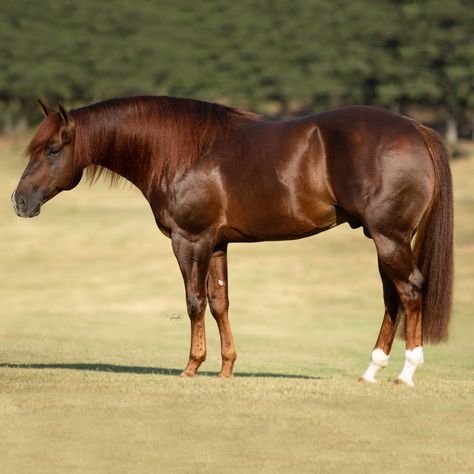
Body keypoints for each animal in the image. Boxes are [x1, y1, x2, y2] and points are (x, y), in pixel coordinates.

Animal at [11, 96, 454, 386]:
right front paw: (226, 368)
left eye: (52, 149)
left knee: (410, 291)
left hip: (389, 238)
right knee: (393, 297)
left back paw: (406, 373)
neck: (182, 151)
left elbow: (194, 301)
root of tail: (415, 128)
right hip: (386, 240)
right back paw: (371, 371)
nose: (19, 201)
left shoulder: (189, 240)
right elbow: (220, 302)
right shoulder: (218, 244)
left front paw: (191, 367)